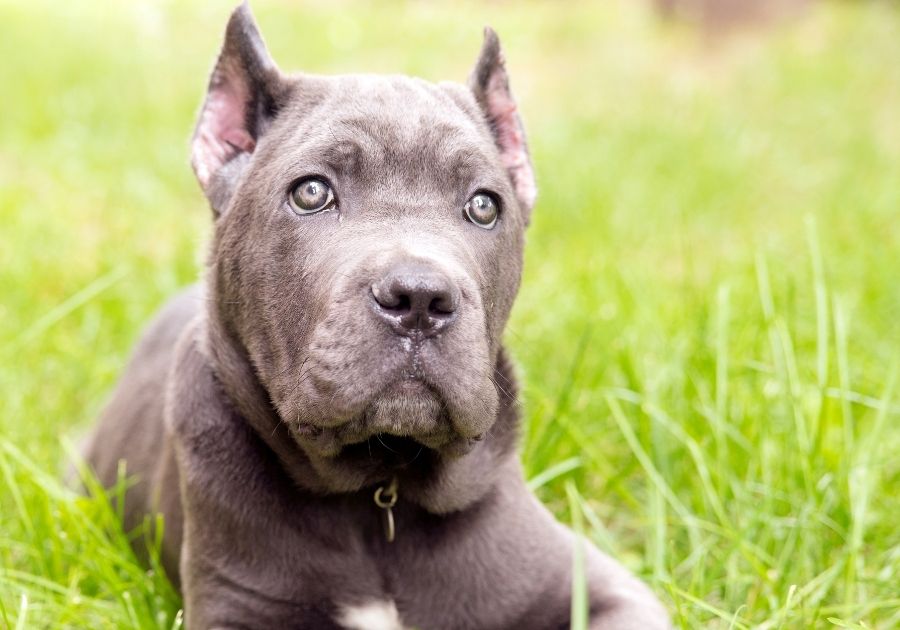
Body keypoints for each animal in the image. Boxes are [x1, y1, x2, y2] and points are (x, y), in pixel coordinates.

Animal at [84, 4, 672, 630]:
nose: (420, 298)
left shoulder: (597, 584)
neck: (380, 493)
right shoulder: (236, 607)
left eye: (483, 205)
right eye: (311, 193)